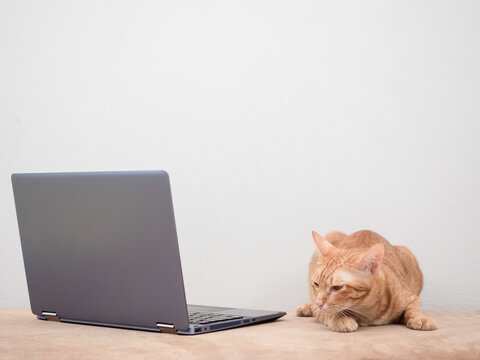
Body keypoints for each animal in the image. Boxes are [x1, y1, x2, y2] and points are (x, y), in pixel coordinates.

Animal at [294, 231, 436, 332]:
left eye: (337, 287)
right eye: (316, 284)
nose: (319, 303)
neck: (367, 309)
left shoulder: (411, 297)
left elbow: (413, 309)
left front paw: (419, 318)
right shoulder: (319, 309)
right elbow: (329, 313)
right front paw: (341, 319)